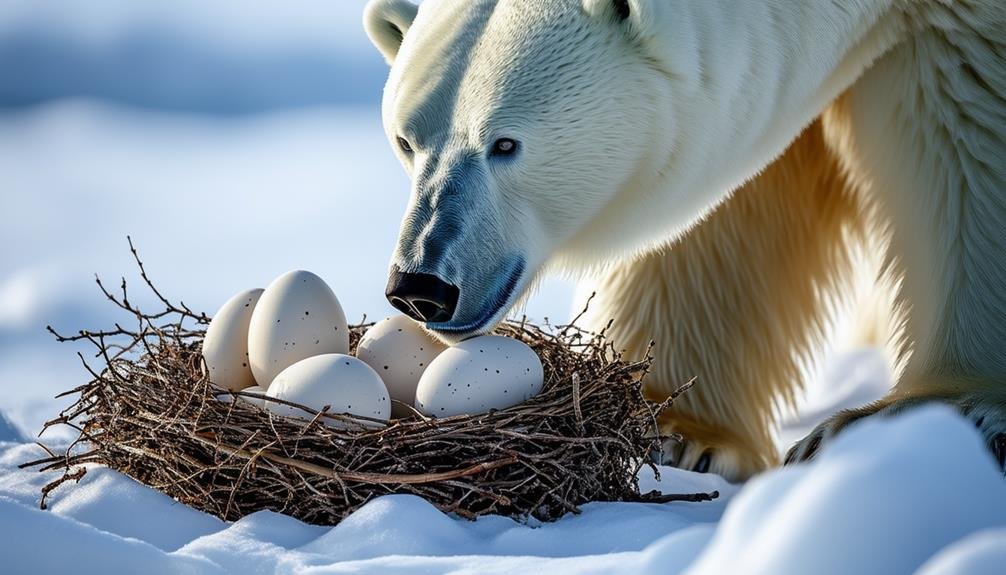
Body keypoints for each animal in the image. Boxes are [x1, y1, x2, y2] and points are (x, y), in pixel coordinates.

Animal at [366, 0, 1006, 480]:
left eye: (505, 143)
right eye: (405, 140)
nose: (420, 286)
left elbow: (970, 132)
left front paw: (932, 408)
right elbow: (720, 221)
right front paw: (681, 433)